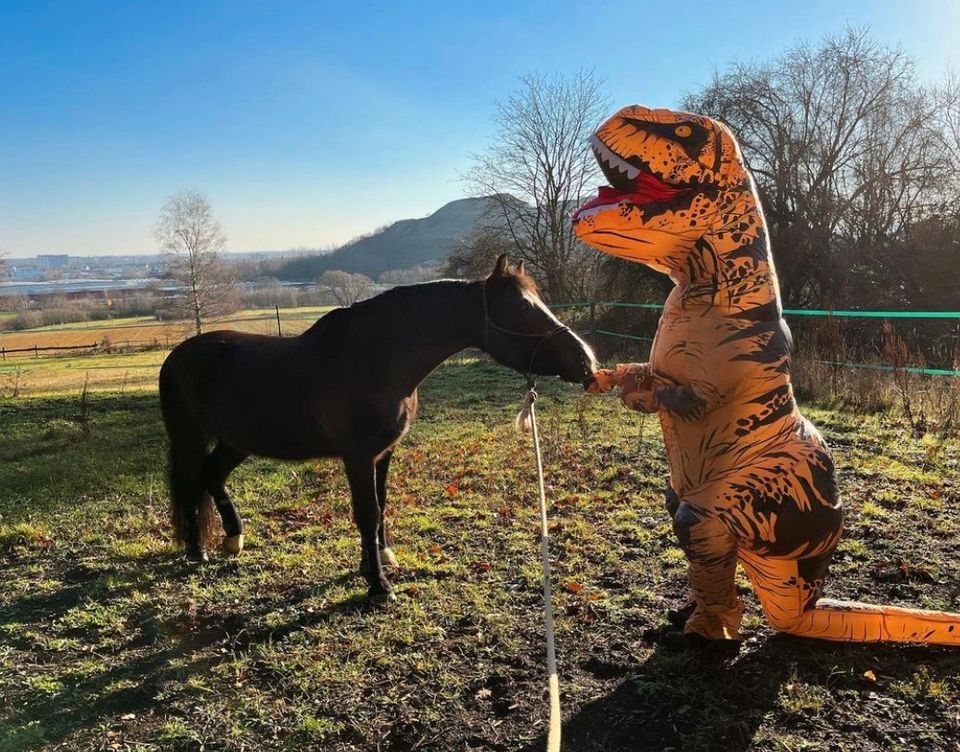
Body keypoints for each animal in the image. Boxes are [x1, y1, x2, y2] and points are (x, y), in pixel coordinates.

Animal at [158, 256, 596, 604]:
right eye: (521, 307)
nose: (587, 361)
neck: (376, 360)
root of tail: (177, 355)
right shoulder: (357, 456)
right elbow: (366, 512)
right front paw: (378, 585)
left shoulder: (383, 453)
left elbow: (381, 505)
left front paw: (380, 560)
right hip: (190, 438)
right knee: (190, 482)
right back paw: (197, 550)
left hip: (236, 441)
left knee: (212, 476)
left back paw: (233, 539)